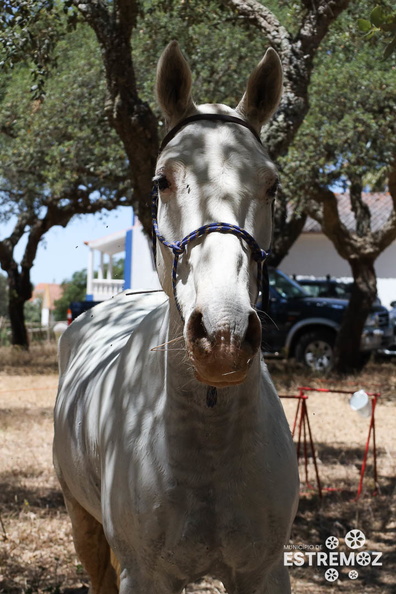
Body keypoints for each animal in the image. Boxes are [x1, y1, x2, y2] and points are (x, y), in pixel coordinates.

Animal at [54, 42, 298, 592]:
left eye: (272, 186)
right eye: (162, 180)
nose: (223, 337)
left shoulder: (264, 572)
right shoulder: (143, 575)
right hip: (82, 524)